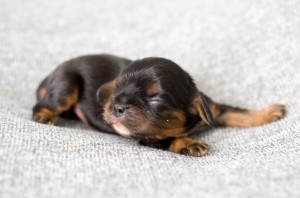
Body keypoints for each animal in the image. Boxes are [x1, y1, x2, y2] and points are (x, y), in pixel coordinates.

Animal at [31, 54, 288, 156]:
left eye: (155, 98)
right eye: (117, 89)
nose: (116, 106)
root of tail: (50, 75)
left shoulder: (214, 109)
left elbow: (239, 112)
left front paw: (269, 112)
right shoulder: (149, 137)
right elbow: (171, 138)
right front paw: (190, 144)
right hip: (66, 83)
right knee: (41, 105)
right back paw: (44, 116)